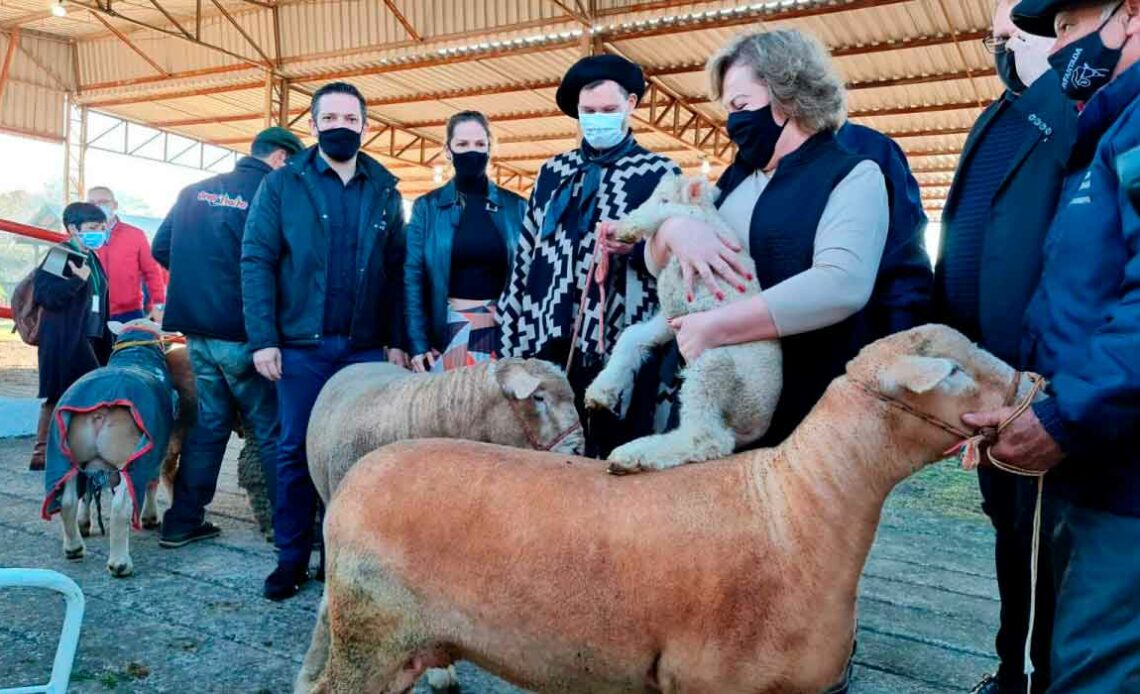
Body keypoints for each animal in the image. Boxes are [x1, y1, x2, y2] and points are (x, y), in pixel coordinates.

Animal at [583, 175, 779, 474]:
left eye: (664, 198)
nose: (611, 231)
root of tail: (757, 425)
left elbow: (665, 217)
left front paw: (627, 227)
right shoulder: (674, 317)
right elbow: (632, 336)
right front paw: (601, 391)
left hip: (715, 371)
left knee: (706, 438)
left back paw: (634, 455)